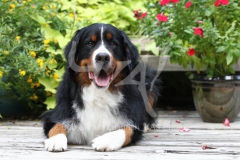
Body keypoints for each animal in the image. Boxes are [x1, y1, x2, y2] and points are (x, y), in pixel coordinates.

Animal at [42, 23, 160, 152]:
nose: (102, 57)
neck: (99, 93)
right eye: (90, 43)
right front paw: (56, 140)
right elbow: (57, 125)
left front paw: (105, 140)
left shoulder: (133, 122)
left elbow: (126, 129)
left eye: (113, 43)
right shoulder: (57, 114)